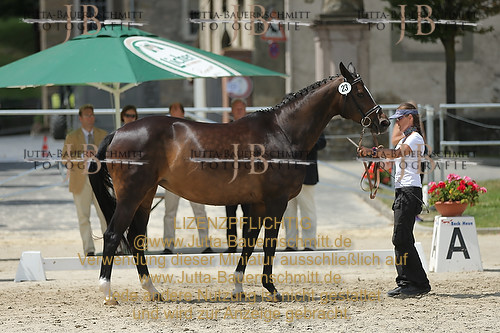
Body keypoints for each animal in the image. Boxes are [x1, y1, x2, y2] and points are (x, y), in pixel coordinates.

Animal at [89, 62, 390, 304]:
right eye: (359, 91)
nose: (383, 121)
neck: (281, 131)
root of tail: (117, 132)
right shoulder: (276, 202)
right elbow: (268, 244)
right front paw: (272, 289)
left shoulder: (255, 203)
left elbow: (249, 242)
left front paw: (238, 288)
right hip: (131, 196)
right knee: (113, 235)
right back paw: (108, 293)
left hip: (146, 195)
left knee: (136, 237)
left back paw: (152, 291)